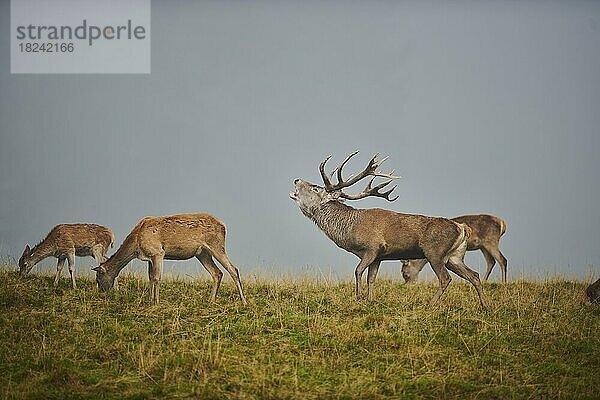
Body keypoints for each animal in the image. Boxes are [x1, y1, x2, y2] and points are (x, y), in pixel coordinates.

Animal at [92, 214, 246, 304]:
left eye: (98, 277)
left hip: (216, 245)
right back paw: (211, 300)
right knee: (217, 273)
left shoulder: (158, 252)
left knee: (233, 269)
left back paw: (243, 301)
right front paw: (150, 300)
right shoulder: (149, 257)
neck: (137, 242)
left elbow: (157, 277)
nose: (102, 292)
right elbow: (150, 277)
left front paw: (156, 301)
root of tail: (224, 226)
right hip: (202, 253)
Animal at [290, 151, 488, 310]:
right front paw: (369, 300)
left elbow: (358, 271)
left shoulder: (372, 247)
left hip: (434, 252)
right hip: (454, 256)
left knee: (446, 278)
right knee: (474, 275)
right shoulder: (379, 257)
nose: (296, 179)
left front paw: (358, 298)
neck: (350, 229)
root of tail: (462, 228)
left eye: (315, 188)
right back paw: (485, 306)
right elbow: (371, 278)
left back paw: (430, 305)